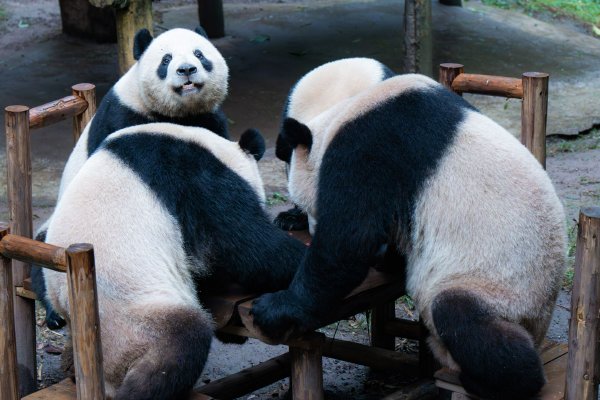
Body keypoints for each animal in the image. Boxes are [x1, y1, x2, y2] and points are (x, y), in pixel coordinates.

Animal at [250, 72, 568, 400]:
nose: (310, 228)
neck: (342, 114)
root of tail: (540, 325)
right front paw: (386, 261)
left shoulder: (369, 149)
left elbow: (348, 241)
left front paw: (274, 308)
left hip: (499, 290)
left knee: (463, 319)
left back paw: (492, 381)